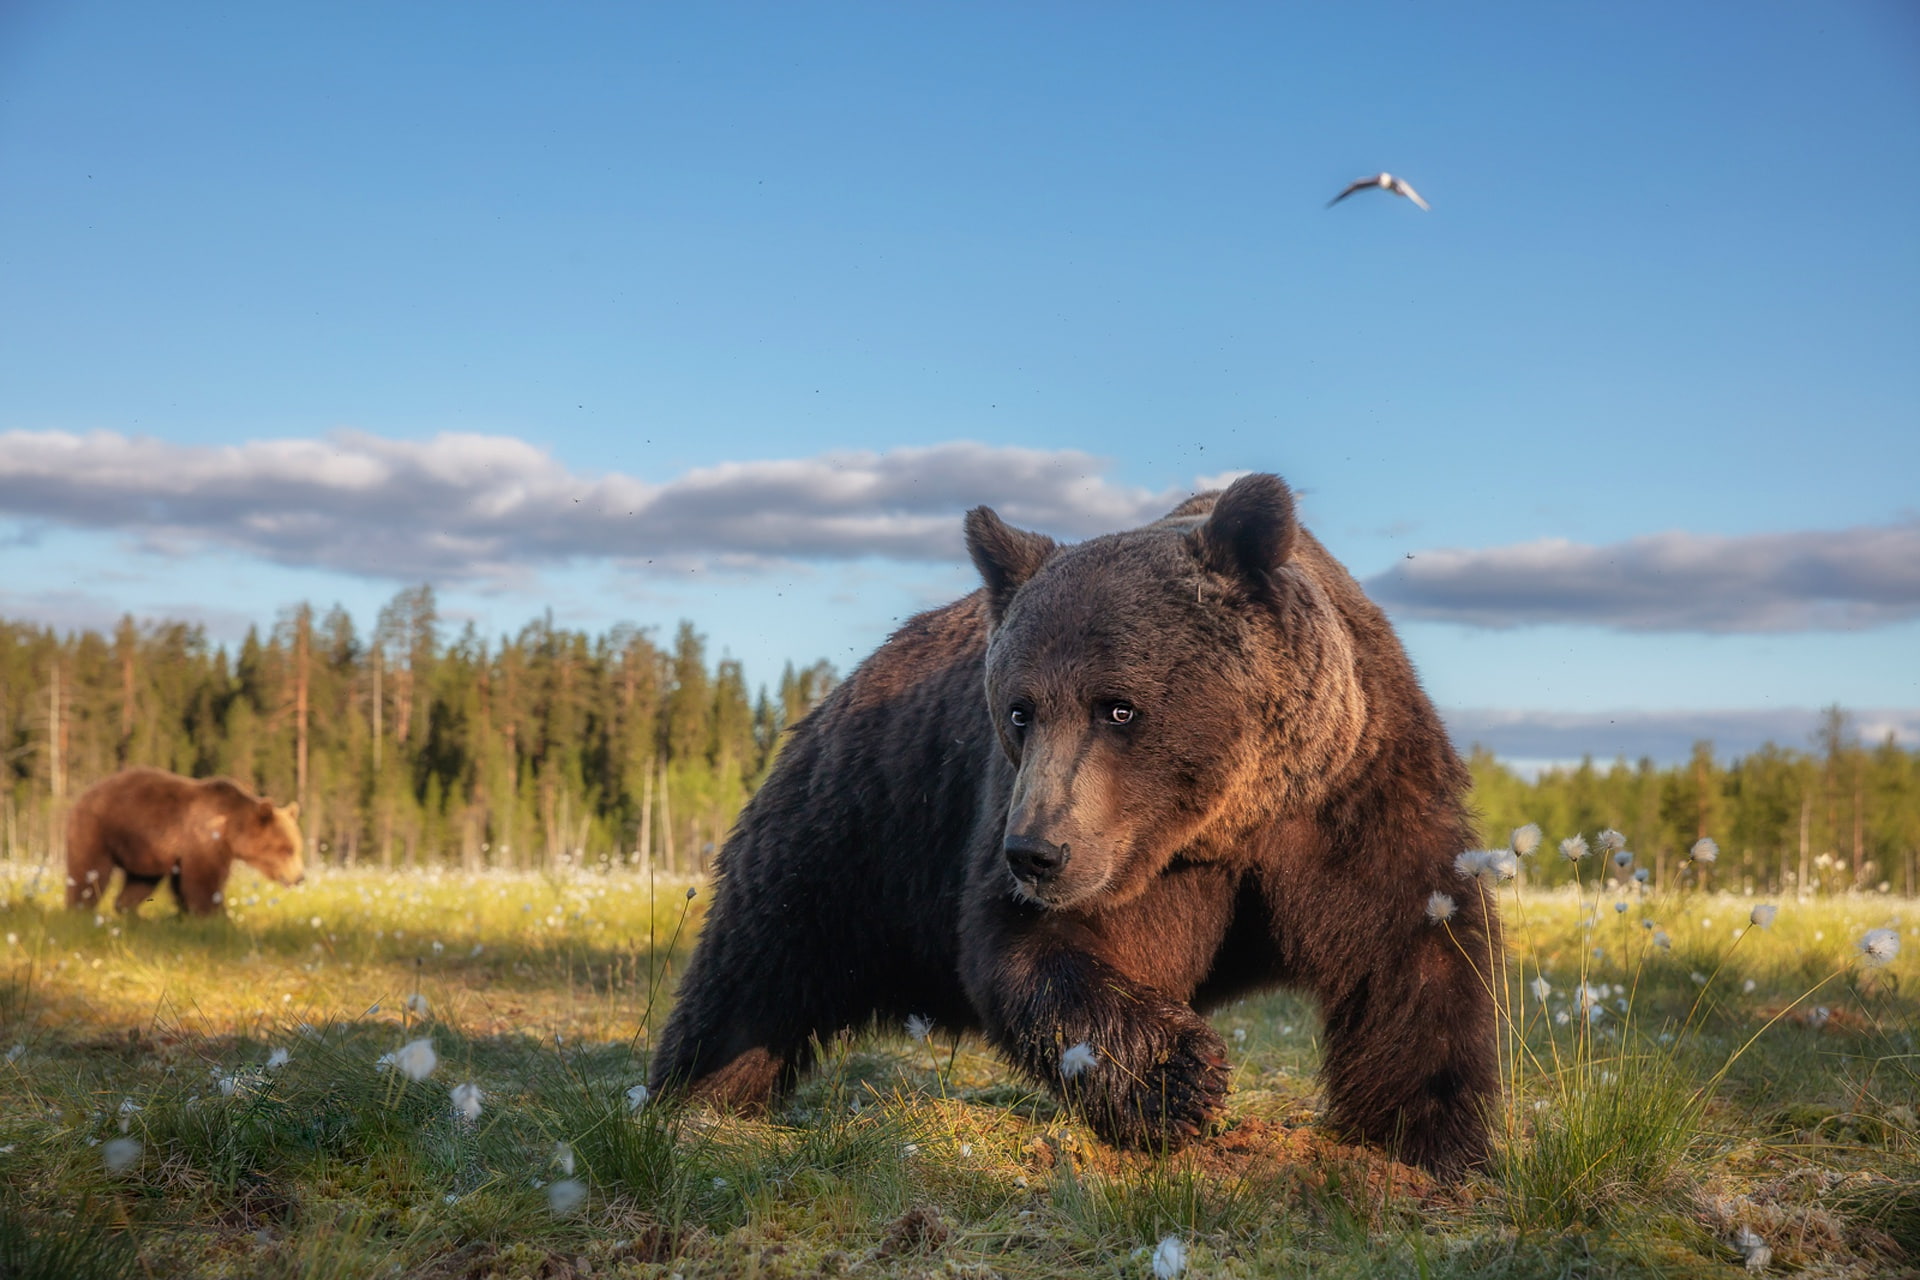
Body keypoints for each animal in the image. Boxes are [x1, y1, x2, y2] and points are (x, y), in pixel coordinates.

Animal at [66, 767, 306, 915]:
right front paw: (217, 916)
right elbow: (203, 883)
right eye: (287, 850)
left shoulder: (184, 853)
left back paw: (130, 911)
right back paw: (79, 909)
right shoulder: (203, 841)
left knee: (140, 882)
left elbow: (183, 886)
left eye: (297, 848)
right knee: (89, 871)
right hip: (100, 829)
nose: (299, 877)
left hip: (143, 851)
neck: (229, 829)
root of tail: (85, 793)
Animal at [649, 473, 1500, 1175]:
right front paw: (1179, 1077)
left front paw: (1429, 1142)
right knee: (755, 970)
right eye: (1019, 709)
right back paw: (693, 1099)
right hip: (856, 832)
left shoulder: (1352, 798)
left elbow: (1412, 952)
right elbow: (1037, 953)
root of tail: (845, 685)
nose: (1035, 853)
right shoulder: (1079, 842)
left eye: (1118, 707)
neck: (1225, 825)